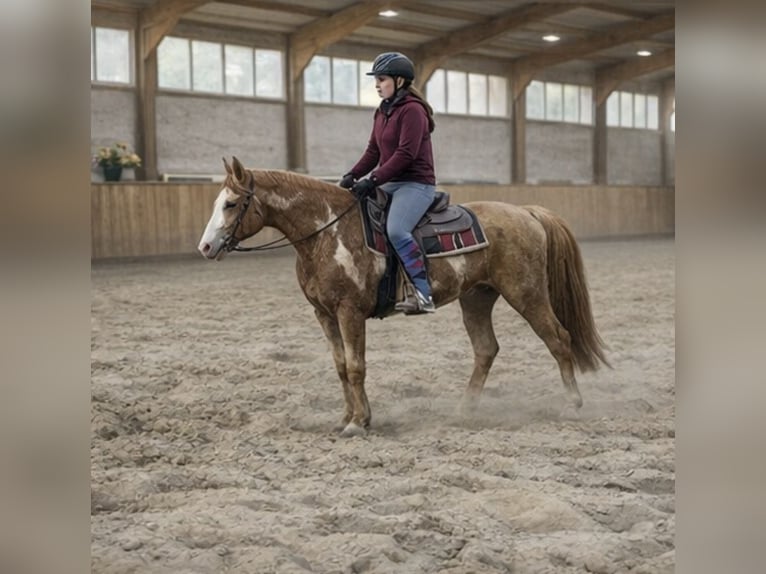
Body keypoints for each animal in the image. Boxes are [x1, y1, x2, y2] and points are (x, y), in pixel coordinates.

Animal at [198, 157, 609, 437]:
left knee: (558, 339)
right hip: (477, 298)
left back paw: (572, 405)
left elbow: (356, 366)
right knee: (486, 350)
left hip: (527, 293)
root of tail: (527, 212)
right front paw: (347, 418)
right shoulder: (324, 314)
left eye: (231, 204)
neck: (327, 231)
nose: (205, 247)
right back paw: (464, 409)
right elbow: (340, 367)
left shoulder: (349, 311)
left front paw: (359, 423)